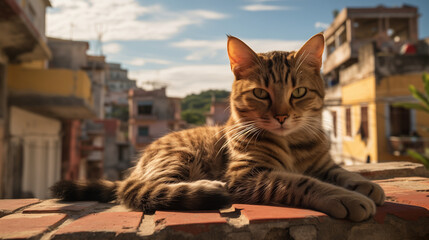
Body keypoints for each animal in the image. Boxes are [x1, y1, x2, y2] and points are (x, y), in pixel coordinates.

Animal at [52, 33, 384, 221]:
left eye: (298, 92)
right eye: (261, 93)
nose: (281, 116)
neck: (293, 143)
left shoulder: (322, 163)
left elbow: (341, 172)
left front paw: (363, 184)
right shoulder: (247, 174)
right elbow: (300, 182)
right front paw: (345, 197)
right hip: (180, 156)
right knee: (139, 190)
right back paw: (205, 187)